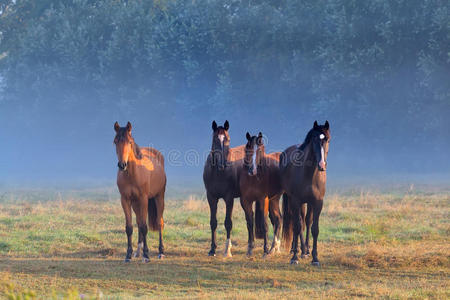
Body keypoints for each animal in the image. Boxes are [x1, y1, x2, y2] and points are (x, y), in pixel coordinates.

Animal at [114, 122, 167, 262]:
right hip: (135, 203)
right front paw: (128, 255)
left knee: (159, 222)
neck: (133, 174)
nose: (122, 165)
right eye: (115, 141)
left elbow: (144, 227)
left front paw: (146, 255)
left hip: (159, 197)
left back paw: (161, 251)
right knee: (138, 221)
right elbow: (129, 227)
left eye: (129, 142)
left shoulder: (143, 199)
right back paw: (137, 251)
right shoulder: (125, 200)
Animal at [204, 120, 246, 256]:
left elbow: (228, 223)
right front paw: (212, 249)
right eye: (215, 139)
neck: (218, 172)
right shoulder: (211, 197)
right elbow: (213, 222)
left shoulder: (229, 198)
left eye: (228, 139)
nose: (223, 164)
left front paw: (227, 250)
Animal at [282, 119, 330, 264]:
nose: (322, 165)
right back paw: (297, 249)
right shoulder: (295, 201)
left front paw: (315, 257)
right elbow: (297, 226)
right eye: (314, 139)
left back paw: (306, 250)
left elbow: (314, 228)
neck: (309, 175)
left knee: (306, 221)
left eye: (328, 139)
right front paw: (294, 257)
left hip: (307, 203)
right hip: (293, 200)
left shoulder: (318, 202)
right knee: (297, 222)